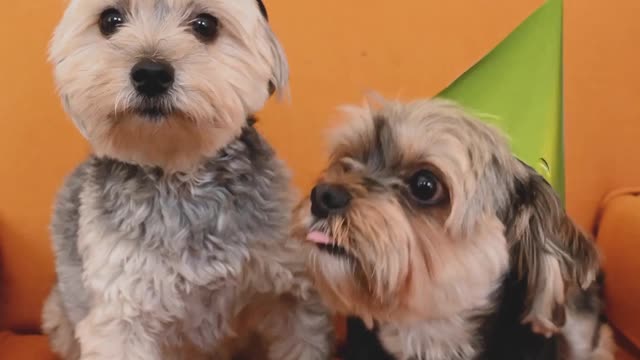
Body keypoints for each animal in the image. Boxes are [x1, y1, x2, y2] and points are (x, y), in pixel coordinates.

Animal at [40, 0, 332, 358]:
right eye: (110, 20)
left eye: (205, 25)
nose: (151, 74)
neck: (179, 176)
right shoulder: (122, 315)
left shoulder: (291, 292)